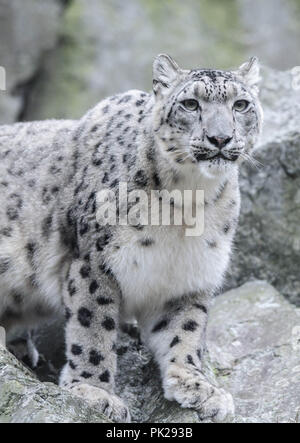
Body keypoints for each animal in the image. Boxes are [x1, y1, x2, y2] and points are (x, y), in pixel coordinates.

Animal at [0, 54, 262, 424]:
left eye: (240, 104)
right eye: (190, 104)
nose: (220, 138)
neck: (188, 202)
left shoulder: (189, 274)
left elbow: (185, 329)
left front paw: (197, 385)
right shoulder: (93, 264)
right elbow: (92, 327)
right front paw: (93, 391)